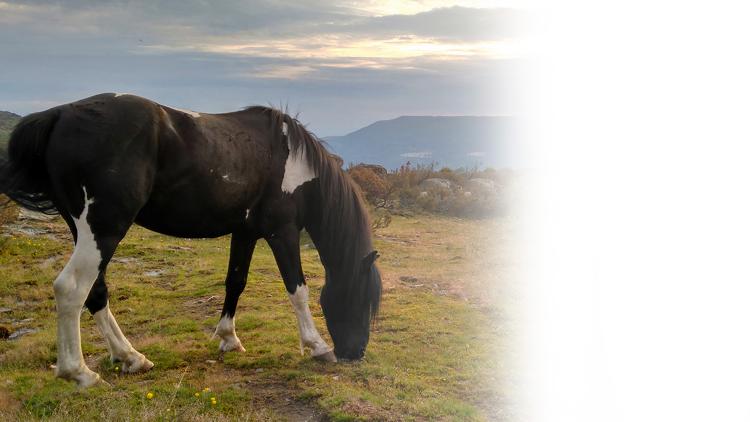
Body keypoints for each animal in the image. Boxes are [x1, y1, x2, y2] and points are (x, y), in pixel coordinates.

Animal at [0, 94, 382, 388]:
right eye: (362, 299)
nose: (356, 353)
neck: (294, 161)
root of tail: (59, 115)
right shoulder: (282, 232)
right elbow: (297, 290)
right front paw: (317, 346)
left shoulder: (245, 232)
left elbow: (235, 282)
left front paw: (229, 338)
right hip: (104, 229)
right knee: (71, 288)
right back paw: (79, 373)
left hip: (87, 232)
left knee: (95, 291)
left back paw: (131, 357)